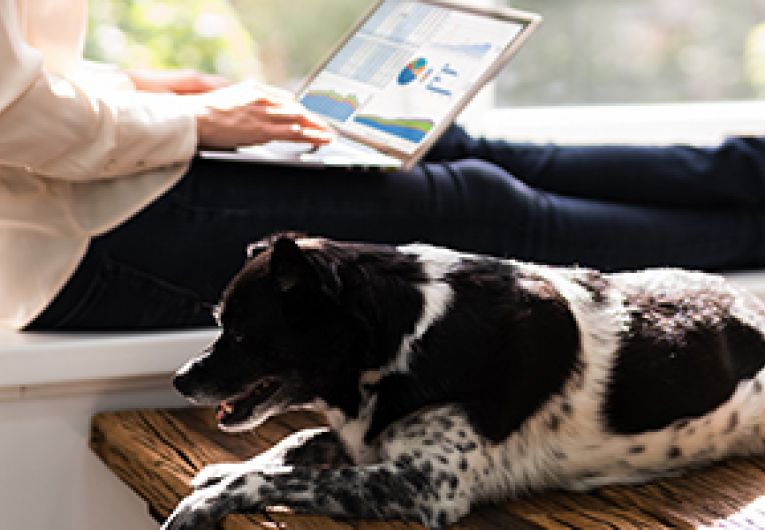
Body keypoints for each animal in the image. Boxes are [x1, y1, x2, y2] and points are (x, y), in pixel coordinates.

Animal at [164, 233, 764, 524]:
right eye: (221, 325)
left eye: (241, 335)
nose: (179, 380)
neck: (409, 338)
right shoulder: (366, 439)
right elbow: (295, 443)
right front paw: (220, 469)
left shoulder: (425, 486)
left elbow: (281, 477)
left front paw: (202, 504)